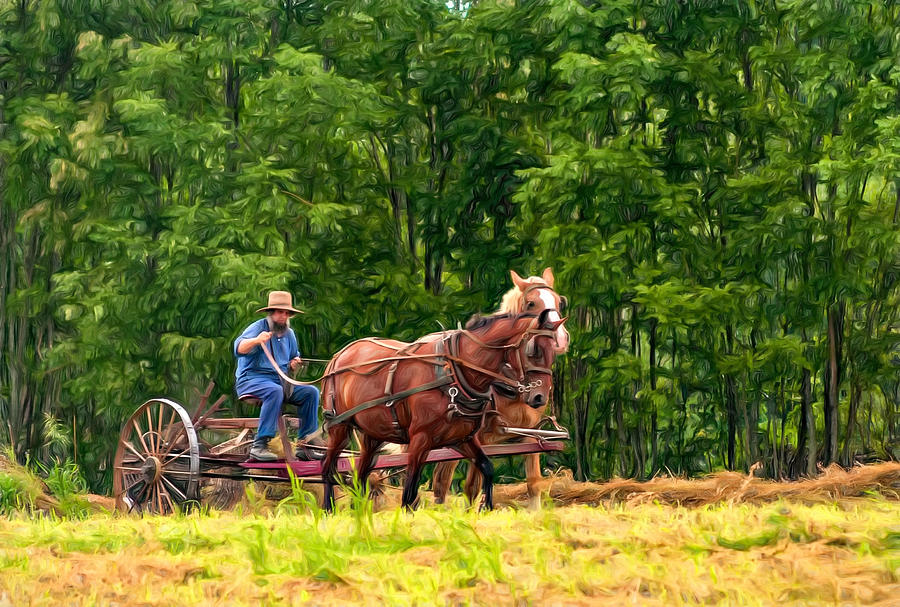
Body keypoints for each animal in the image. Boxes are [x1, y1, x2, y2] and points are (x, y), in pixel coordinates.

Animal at [320, 312, 564, 510]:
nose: (540, 397)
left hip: (373, 434)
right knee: (328, 468)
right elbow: (410, 490)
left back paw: (359, 510)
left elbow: (486, 467)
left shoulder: (462, 438)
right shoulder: (420, 439)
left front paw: (486, 507)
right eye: (533, 350)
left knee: (362, 475)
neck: (454, 372)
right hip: (339, 427)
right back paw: (328, 510)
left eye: (554, 350)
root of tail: (340, 355)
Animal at [430, 268, 568, 506]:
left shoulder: (531, 434)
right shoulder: (480, 438)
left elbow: (533, 483)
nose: (559, 338)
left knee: (442, 478)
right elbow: (472, 487)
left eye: (559, 301)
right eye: (531, 303)